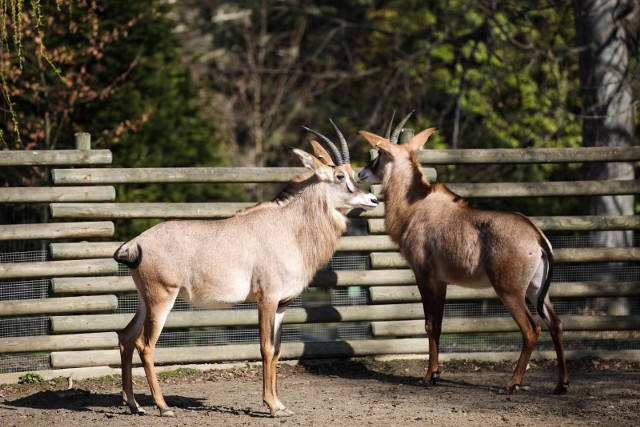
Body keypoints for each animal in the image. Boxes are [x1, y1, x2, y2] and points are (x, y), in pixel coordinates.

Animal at [112, 124, 378, 418]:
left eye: (354, 173)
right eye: (340, 176)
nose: (373, 199)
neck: (288, 227)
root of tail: (136, 243)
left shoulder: (282, 304)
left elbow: (277, 350)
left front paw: (281, 405)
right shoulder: (266, 299)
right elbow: (266, 348)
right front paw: (271, 406)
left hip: (146, 300)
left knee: (126, 337)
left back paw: (134, 404)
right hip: (162, 298)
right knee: (145, 345)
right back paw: (162, 406)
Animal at [358, 113, 568, 394]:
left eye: (379, 155)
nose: (361, 172)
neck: (415, 205)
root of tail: (536, 236)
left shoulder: (424, 276)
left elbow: (429, 324)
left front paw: (429, 376)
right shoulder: (442, 281)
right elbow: (438, 326)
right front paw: (435, 373)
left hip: (510, 291)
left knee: (531, 329)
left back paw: (512, 383)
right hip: (537, 290)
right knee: (555, 324)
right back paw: (561, 384)